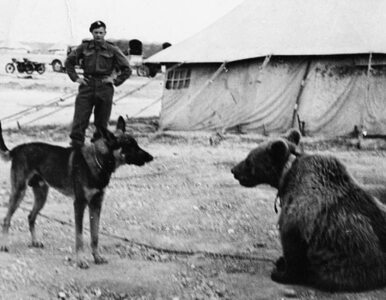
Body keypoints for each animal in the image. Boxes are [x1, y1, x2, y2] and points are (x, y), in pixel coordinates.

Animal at [0, 116, 154, 268]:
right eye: (130, 146)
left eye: (136, 144)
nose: (151, 157)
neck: (98, 160)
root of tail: (18, 148)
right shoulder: (80, 204)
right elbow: (79, 237)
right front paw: (81, 260)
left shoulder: (96, 205)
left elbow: (95, 236)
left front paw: (97, 257)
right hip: (19, 193)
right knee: (7, 219)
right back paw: (4, 245)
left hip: (41, 197)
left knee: (31, 217)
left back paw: (35, 241)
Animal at [231, 130, 386, 292]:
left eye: (248, 160)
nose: (233, 170)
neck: (285, 176)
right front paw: (281, 262)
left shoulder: (300, 213)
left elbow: (292, 242)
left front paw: (281, 273)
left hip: (348, 266)